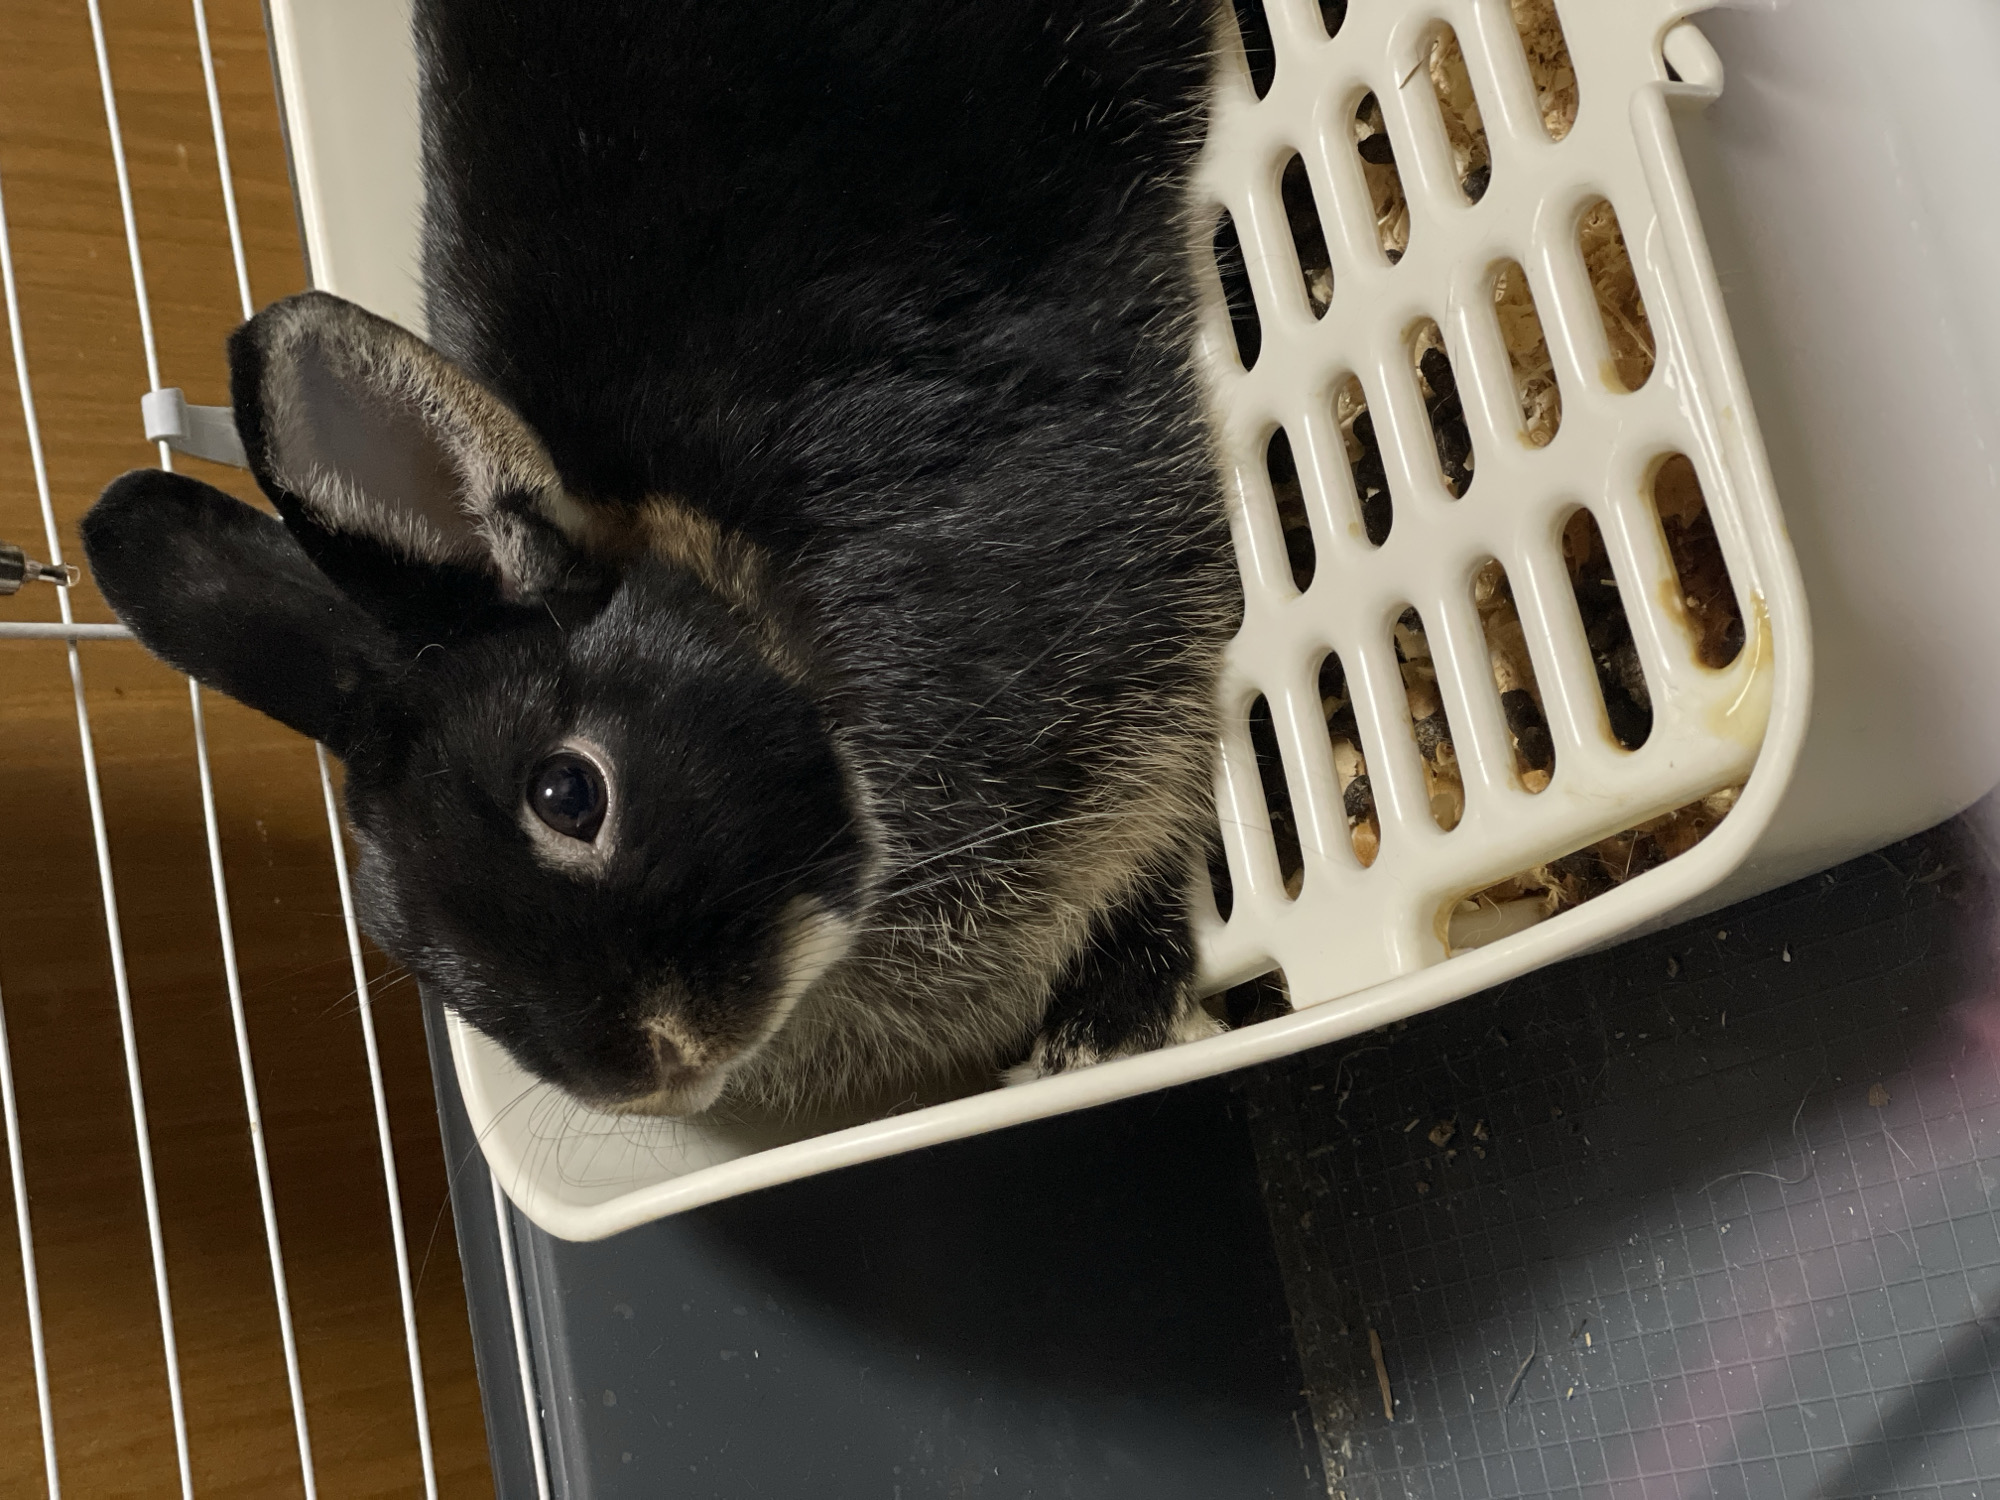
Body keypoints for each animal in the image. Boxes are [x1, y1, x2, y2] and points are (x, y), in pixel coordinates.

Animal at [80, 0, 1238, 1118]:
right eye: (401, 939)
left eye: (568, 796)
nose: (646, 1068)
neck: (772, 616)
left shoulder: (1135, 640)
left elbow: (1163, 814)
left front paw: (1111, 1025)